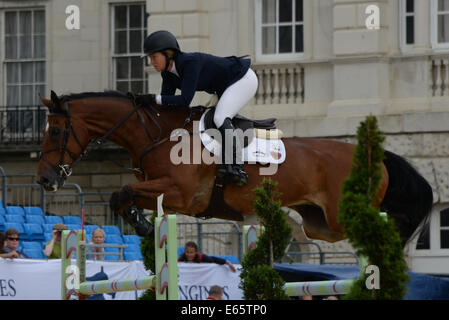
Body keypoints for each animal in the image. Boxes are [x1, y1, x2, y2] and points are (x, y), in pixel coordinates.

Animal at [36, 91, 432, 246]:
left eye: (55, 131)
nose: (44, 179)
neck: (159, 135)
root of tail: (376, 154)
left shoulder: (181, 194)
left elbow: (121, 192)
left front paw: (142, 225)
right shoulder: (168, 196)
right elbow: (123, 196)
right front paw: (142, 224)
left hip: (341, 216)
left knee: (381, 225)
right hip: (319, 224)